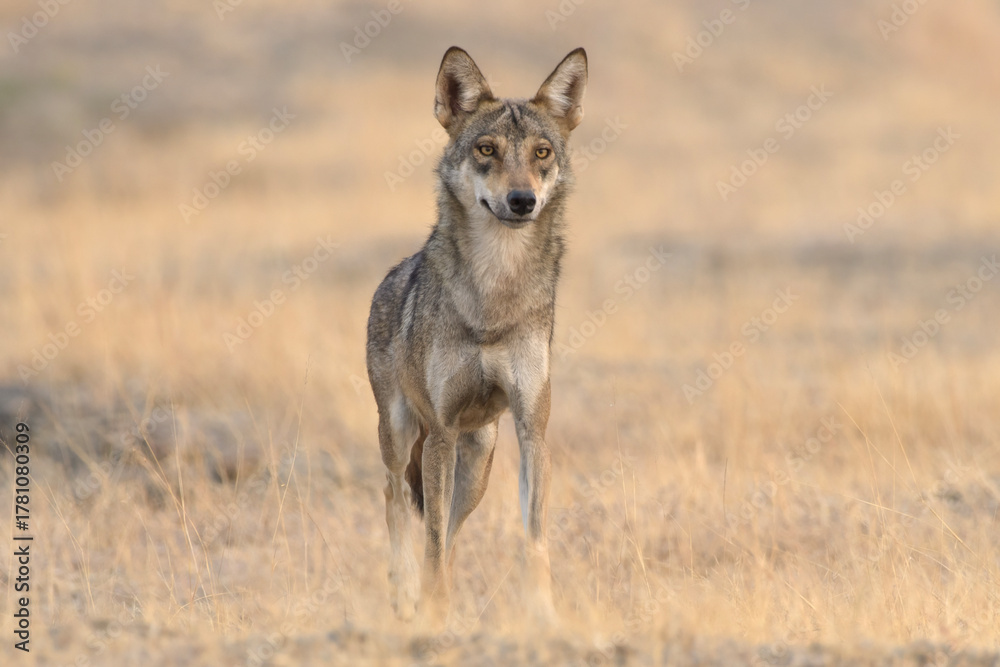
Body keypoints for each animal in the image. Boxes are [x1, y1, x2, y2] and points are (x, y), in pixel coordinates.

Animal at [366, 46, 587, 623]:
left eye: (541, 153)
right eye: (487, 149)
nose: (522, 200)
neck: (495, 293)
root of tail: (392, 275)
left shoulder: (533, 431)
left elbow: (534, 537)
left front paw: (543, 615)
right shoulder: (441, 431)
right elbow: (429, 538)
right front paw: (433, 614)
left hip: (479, 463)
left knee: (449, 530)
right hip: (401, 435)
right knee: (397, 503)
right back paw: (404, 594)